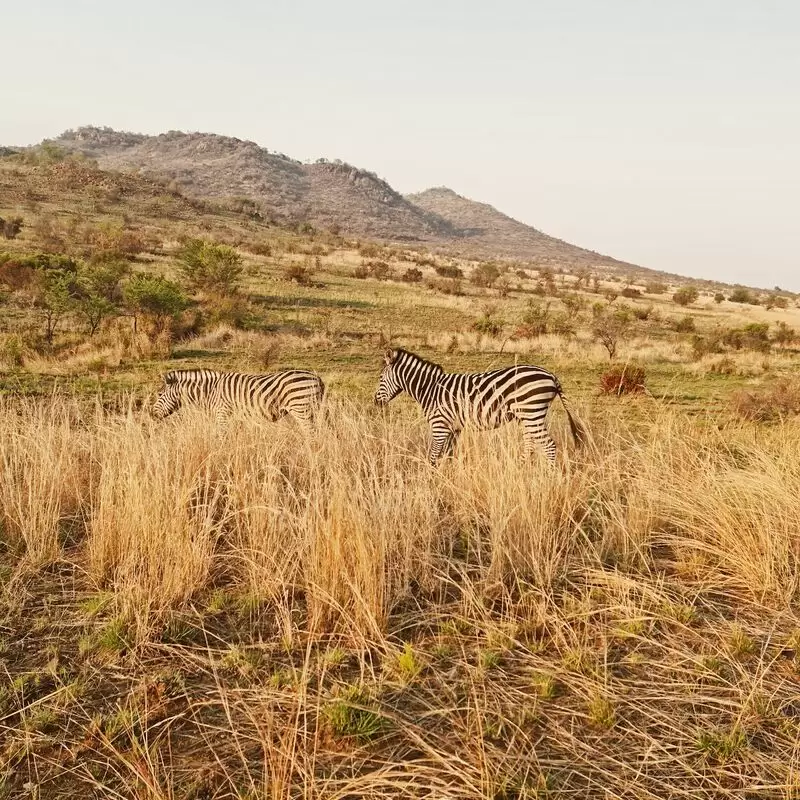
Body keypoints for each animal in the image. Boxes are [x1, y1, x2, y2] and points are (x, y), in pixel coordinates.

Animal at [150, 368, 324, 424]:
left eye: (159, 394)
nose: (151, 415)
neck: (210, 391)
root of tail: (317, 377)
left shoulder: (222, 414)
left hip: (301, 409)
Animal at [372, 348, 584, 466]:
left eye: (381, 378)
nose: (376, 402)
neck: (431, 389)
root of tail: (551, 375)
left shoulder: (439, 426)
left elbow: (432, 457)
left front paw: (431, 481)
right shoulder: (453, 429)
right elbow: (448, 456)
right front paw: (449, 478)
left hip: (531, 413)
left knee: (548, 446)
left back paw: (549, 478)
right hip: (527, 417)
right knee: (531, 445)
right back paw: (522, 471)